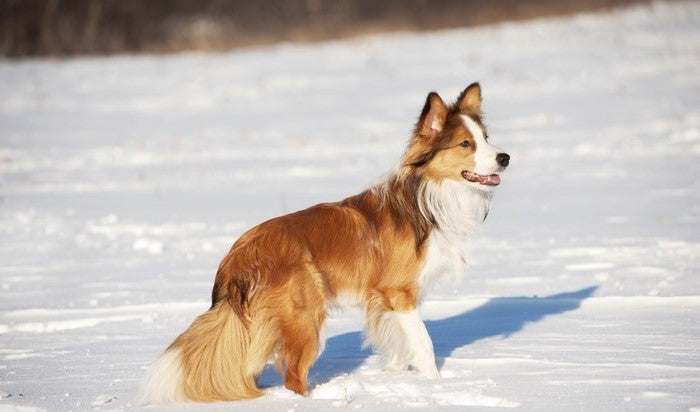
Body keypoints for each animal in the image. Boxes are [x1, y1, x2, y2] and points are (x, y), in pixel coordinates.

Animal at [141, 83, 508, 402]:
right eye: (465, 144)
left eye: (486, 138)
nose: (505, 157)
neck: (425, 197)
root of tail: (237, 256)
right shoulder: (400, 294)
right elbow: (423, 343)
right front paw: (434, 386)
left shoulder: (381, 300)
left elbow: (394, 344)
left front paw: (393, 379)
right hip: (305, 317)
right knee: (293, 377)